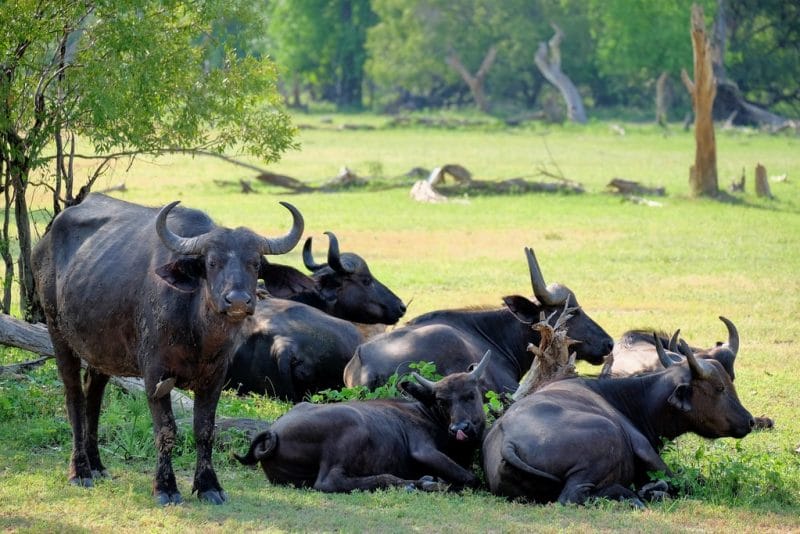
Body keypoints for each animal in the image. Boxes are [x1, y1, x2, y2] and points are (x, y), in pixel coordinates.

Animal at [31, 195, 304, 508]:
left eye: (255, 264)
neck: (198, 333)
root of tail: (44, 244)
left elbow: (205, 430)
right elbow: (166, 430)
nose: (237, 301)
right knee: (74, 396)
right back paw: (80, 471)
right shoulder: (154, 374)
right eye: (212, 262)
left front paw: (208, 486)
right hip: (58, 332)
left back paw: (97, 465)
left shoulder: (215, 377)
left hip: (102, 351)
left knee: (94, 397)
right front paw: (165, 487)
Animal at [234, 352, 490, 494]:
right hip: (351, 429)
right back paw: (414, 483)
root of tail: (273, 431)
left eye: (470, 394)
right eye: (442, 401)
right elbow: (470, 478)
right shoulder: (423, 450)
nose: (460, 428)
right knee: (329, 481)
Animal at [482, 338, 756, 508]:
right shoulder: (646, 450)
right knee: (571, 496)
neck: (629, 398)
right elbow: (690, 480)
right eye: (719, 387)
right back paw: (635, 496)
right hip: (606, 435)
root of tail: (507, 440)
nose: (750, 420)